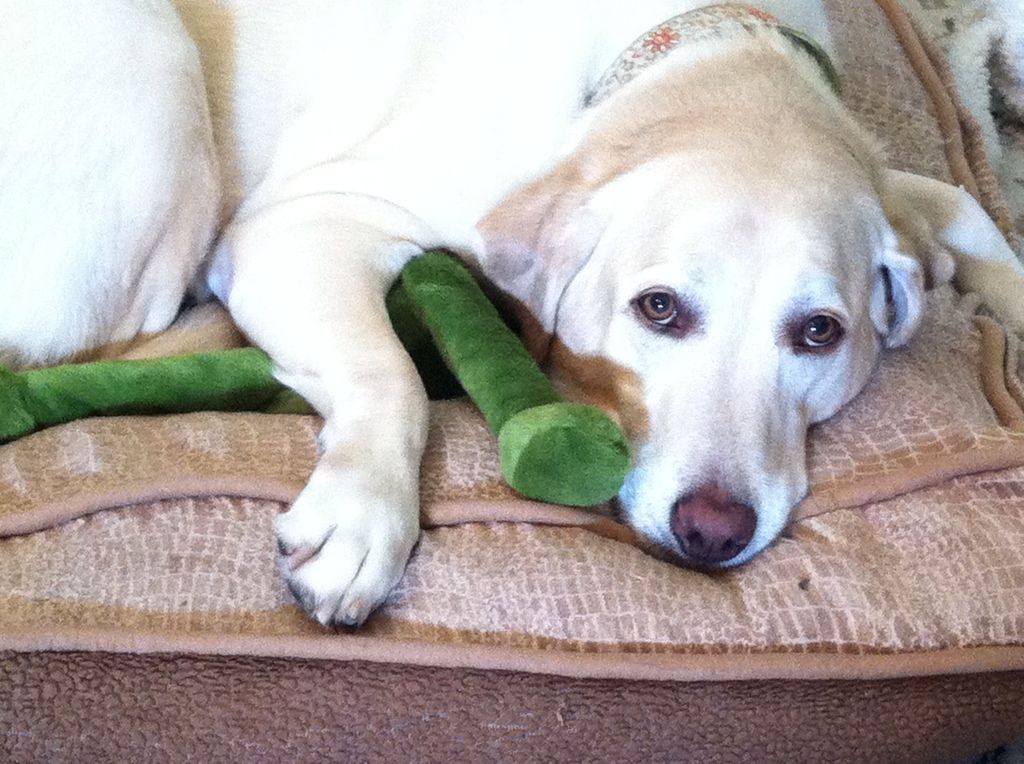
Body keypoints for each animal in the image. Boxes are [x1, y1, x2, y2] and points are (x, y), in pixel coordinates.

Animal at [6, 0, 1024, 626]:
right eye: (658, 309)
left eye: (820, 333)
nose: (712, 531)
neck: (702, 55)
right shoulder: (297, 226)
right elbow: (388, 376)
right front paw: (364, 521)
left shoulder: (892, 184)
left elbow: (971, 212)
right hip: (146, 51)